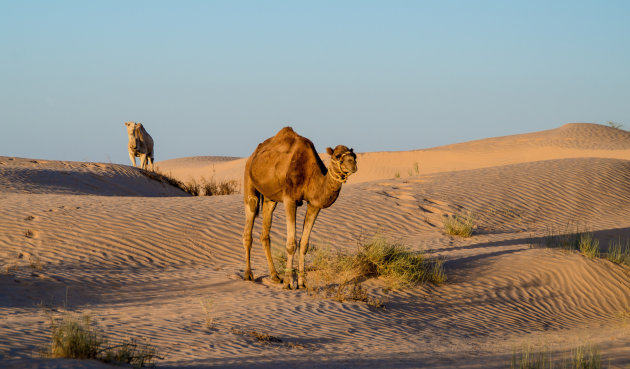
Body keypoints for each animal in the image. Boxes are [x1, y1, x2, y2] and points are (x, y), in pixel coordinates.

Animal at [244, 126, 358, 288]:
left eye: (355, 155)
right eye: (337, 156)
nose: (352, 163)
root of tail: (252, 156)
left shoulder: (314, 204)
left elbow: (304, 244)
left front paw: (302, 283)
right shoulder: (289, 199)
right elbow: (291, 244)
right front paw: (288, 282)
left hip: (270, 198)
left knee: (265, 234)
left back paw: (274, 276)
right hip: (249, 182)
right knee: (249, 223)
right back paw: (248, 274)